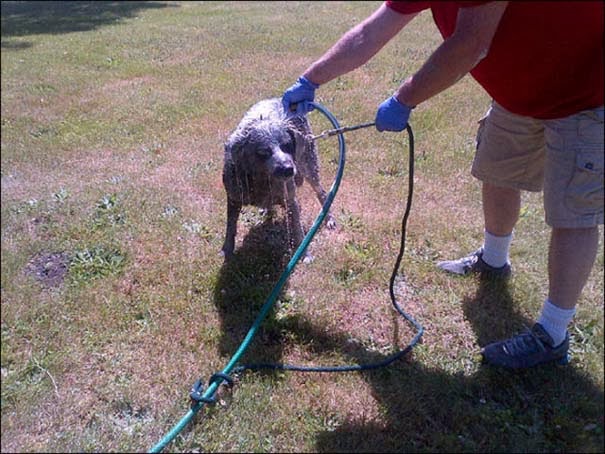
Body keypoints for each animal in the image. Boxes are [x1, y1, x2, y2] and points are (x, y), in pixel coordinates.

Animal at [221, 98, 336, 262]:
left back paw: (329, 218)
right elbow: (230, 227)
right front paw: (227, 251)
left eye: (287, 145)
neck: (261, 180)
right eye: (263, 151)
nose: (289, 169)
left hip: (308, 165)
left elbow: (298, 229)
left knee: (322, 192)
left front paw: (304, 254)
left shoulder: (290, 199)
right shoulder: (233, 198)